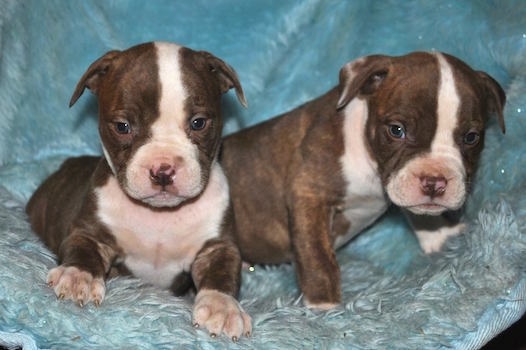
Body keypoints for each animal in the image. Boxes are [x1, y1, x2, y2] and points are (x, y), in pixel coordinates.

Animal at [25, 41, 253, 340]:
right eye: (123, 126)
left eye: (199, 123)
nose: (163, 170)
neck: (159, 215)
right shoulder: (90, 231)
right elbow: (82, 250)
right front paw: (78, 277)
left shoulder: (216, 246)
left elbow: (222, 273)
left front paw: (223, 307)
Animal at [222, 52, 508, 308]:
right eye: (396, 130)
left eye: (471, 137)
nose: (434, 182)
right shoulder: (308, 194)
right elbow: (317, 257)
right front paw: (324, 307)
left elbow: (421, 215)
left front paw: (440, 237)